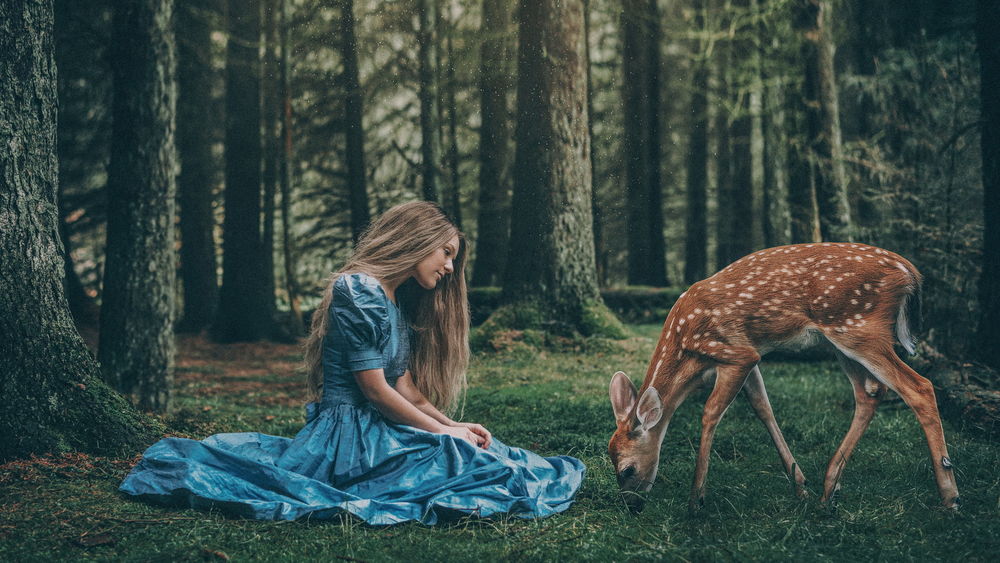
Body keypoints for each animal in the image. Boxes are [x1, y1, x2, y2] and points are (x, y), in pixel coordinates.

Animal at [608, 243, 960, 514]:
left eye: (627, 469)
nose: (632, 506)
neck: (686, 350)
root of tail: (910, 271)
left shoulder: (736, 353)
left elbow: (710, 413)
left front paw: (696, 500)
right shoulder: (749, 357)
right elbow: (764, 408)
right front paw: (800, 486)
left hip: (858, 326)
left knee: (919, 386)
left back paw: (950, 497)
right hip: (844, 339)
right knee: (870, 392)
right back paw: (828, 491)